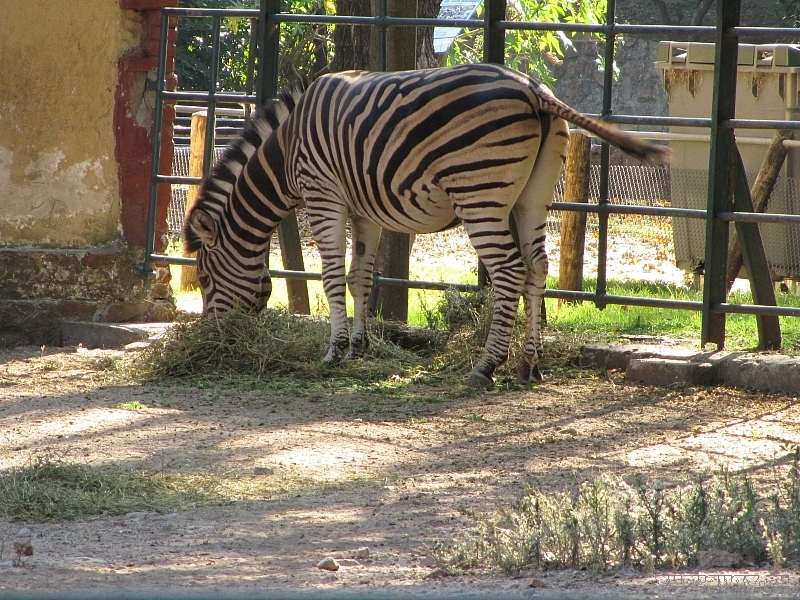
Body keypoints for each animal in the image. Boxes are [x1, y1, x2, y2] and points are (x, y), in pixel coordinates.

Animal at [184, 63, 668, 389]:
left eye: (203, 278)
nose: (208, 336)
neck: (285, 152)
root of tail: (535, 90)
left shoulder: (323, 195)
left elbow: (332, 277)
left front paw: (334, 352)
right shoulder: (363, 210)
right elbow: (360, 277)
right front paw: (359, 348)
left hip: (479, 193)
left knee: (509, 271)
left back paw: (486, 367)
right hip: (533, 196)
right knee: (536, 268)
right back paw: (528, 367)